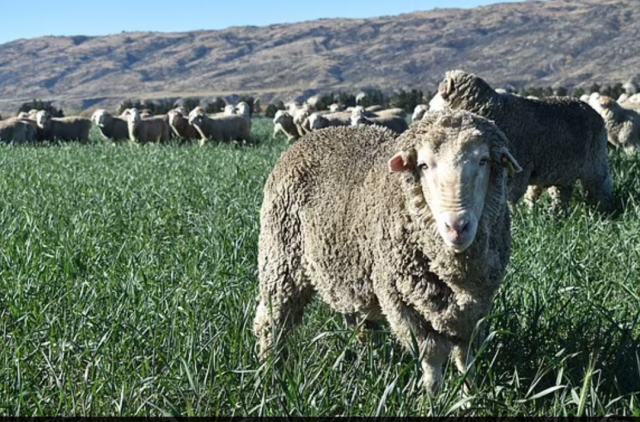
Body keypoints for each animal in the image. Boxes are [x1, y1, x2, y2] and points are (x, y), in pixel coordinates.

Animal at [255, 110, 520, 394]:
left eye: (483, 160)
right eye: (423, 165)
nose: (457, 226)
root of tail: (312, 137)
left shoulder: (476, 304)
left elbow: (465, 356)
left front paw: (471, 394)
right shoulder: (399, 298)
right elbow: (432, 356)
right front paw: (433, 397)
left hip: (348, 272)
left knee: (361, 325)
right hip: (280, 259)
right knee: (271, 321)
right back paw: (270, 373)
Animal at [438, 71, 612, 214]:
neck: (497, 111)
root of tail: (594, 111)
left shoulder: (517, 168)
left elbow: (510, 195)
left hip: (595, 161)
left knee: (602, 184)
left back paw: (604, 209)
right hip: (564, 168)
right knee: (562, 193)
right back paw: (558, 213)